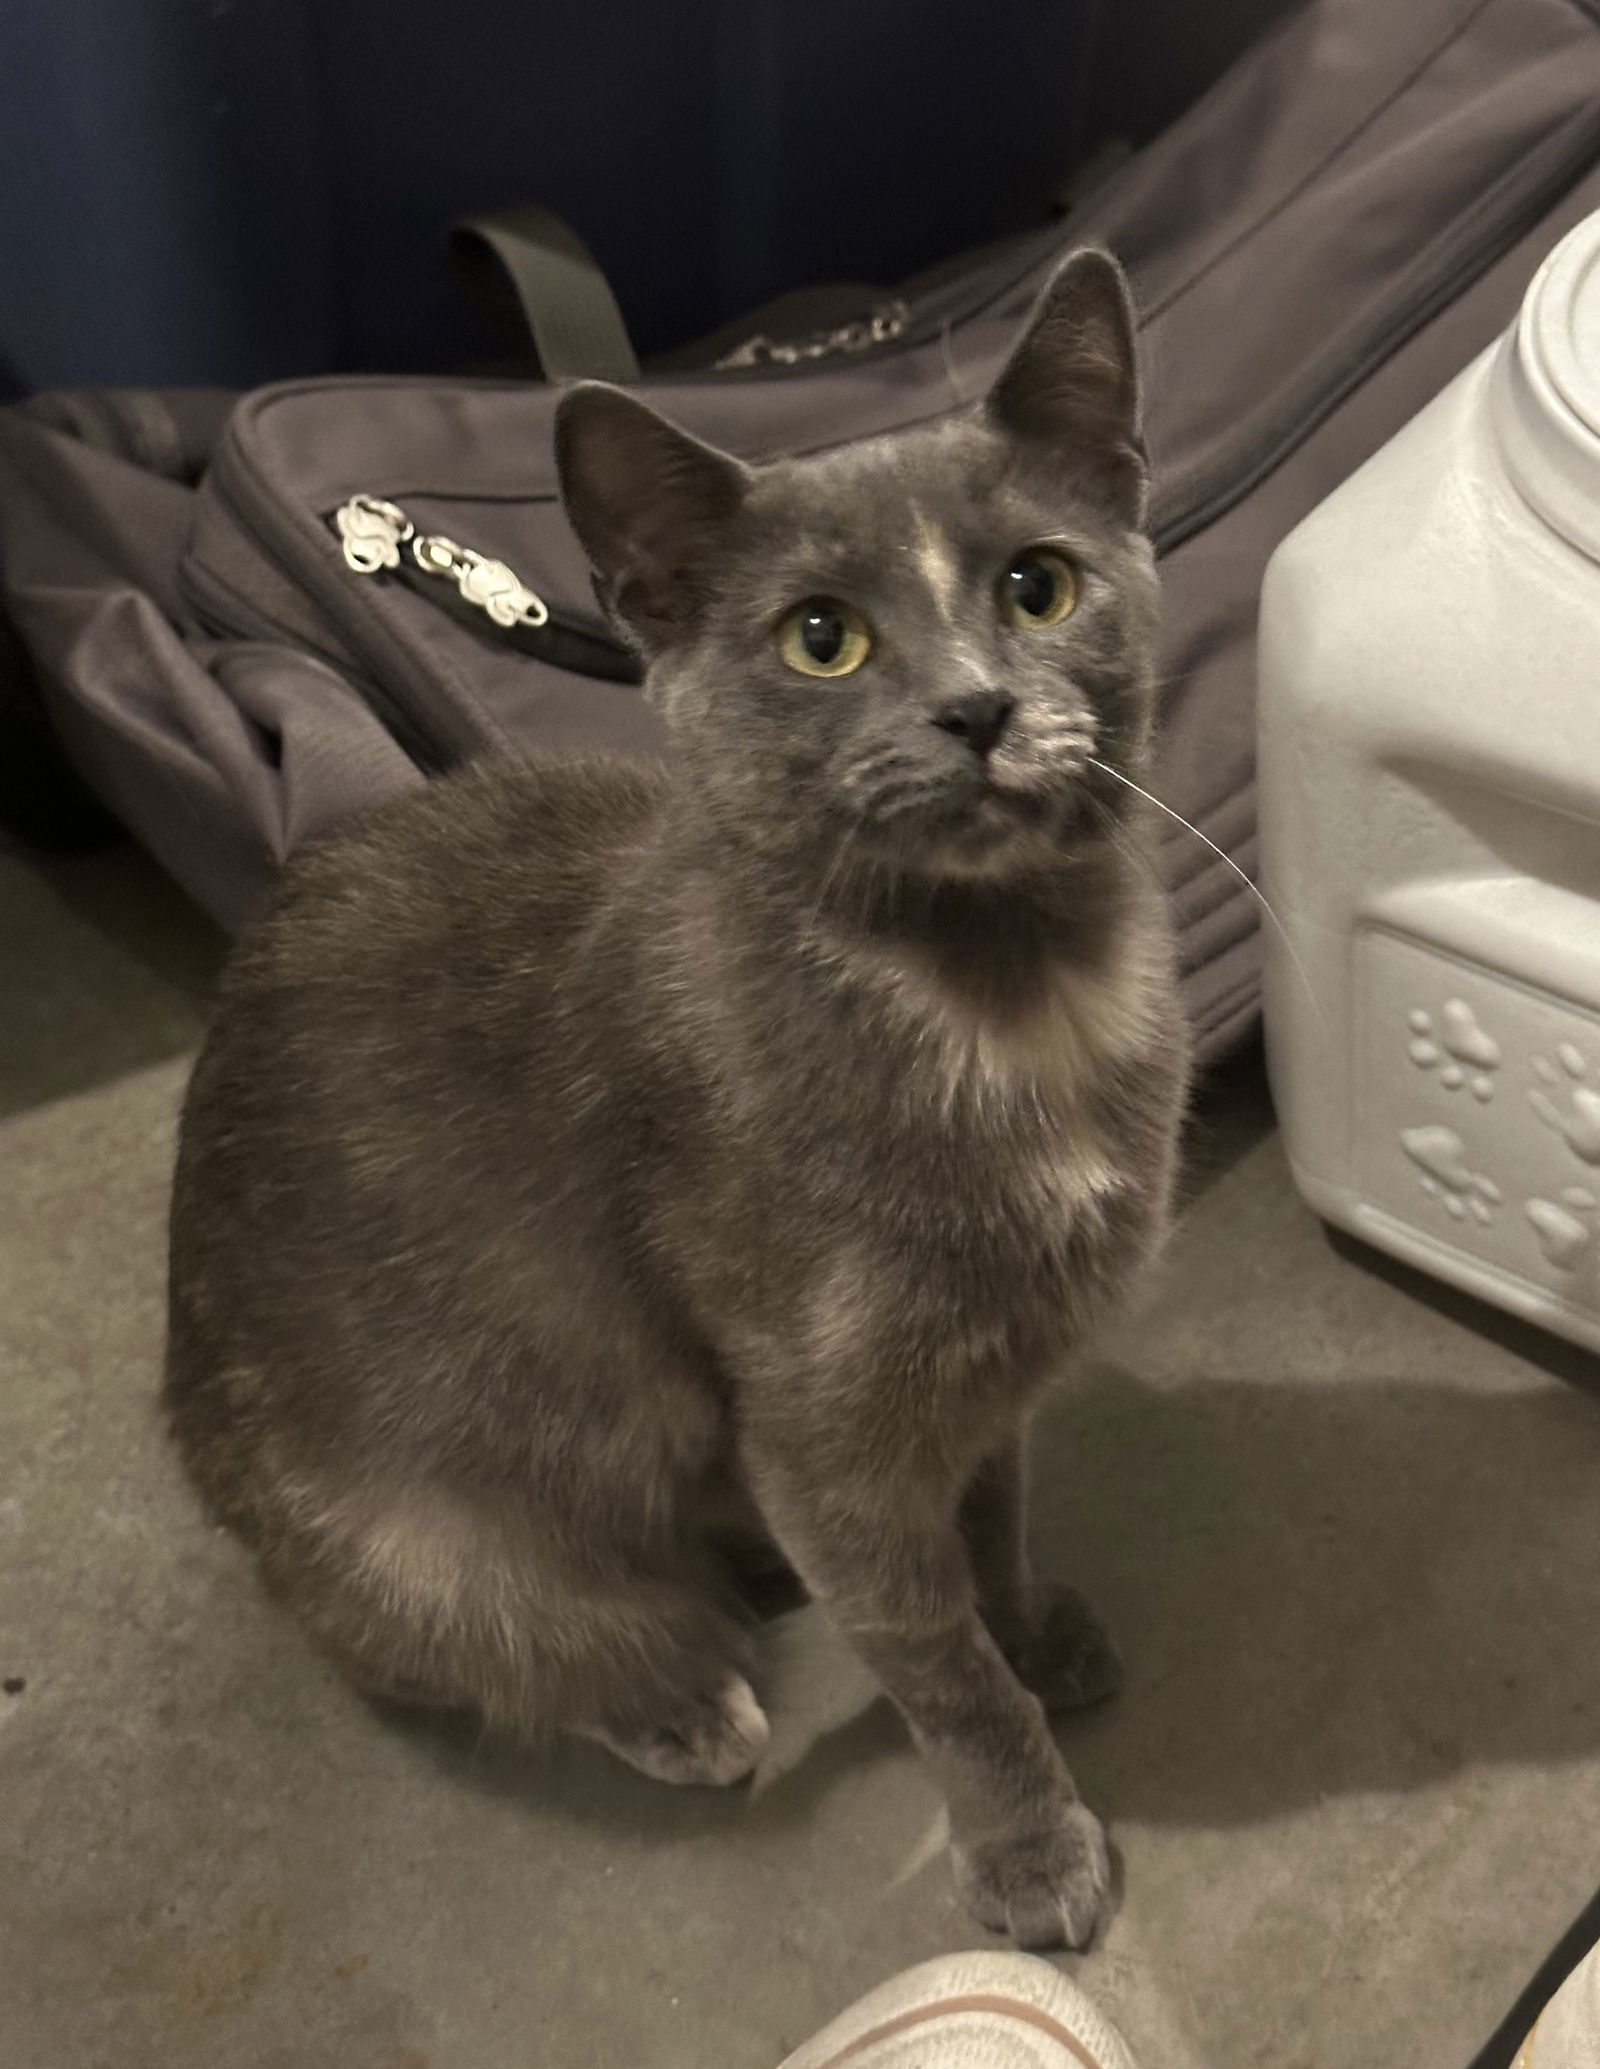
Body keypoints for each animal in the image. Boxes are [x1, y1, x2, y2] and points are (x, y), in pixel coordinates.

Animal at [168, 250, 1183, 1944]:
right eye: (822, 638)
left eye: (1038, 586)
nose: (979, 708)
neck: (1007, 992)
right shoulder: (827, 1425)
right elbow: (937, 1663)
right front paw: (1029, 1841)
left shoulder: (984, 1377)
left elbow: (991, 1524)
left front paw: (1038, 1631)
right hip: (418, 1534)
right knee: (495, 1641)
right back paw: (685, 1702)